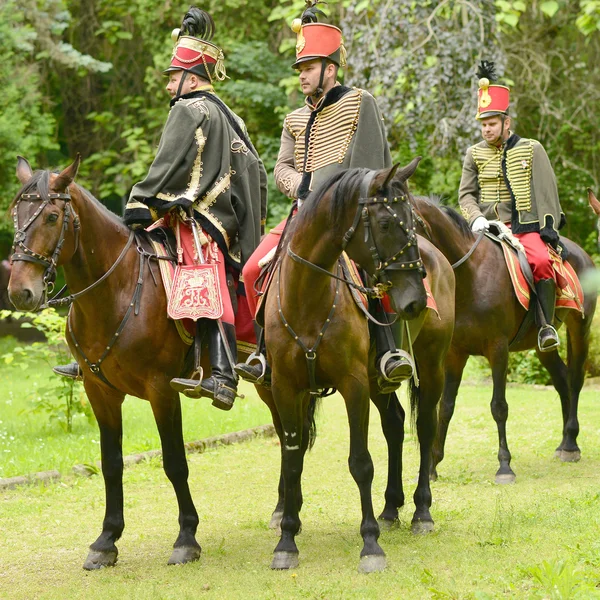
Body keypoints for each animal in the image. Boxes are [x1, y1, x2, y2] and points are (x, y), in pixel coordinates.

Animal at [5, 155, 284, 568]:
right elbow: (110, 464)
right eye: (15, 214)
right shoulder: (99, 391)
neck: (118, 290)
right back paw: (282, 512)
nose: (21, 292)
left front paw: (186, 538)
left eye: (53, 216)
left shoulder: (161, 390)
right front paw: (106, 540)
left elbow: (174, 461)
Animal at [264, 163, 454, 572]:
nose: (416, 300)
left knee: (425, 428)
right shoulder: (286, 387)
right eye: (384, 224)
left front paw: (370, 545)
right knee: (395, 423)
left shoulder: (353, 386)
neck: (307, 297)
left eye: (414, 221)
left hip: (431, 366)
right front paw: (286, 541)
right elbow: (292, 458)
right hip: (377, 381)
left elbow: (361, 463)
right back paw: (391, 508)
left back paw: (421, 512)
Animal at [414, 196, 596, 482]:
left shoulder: (498, 349)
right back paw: (564, 443)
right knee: (562, 379)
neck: (470, 275)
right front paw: (432, 466)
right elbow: (446, 407)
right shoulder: (455, 354)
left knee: (575, 380)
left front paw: (504, 466)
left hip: (581, 328)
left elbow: (498, 406)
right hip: (543, 346)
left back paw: (571, 445)